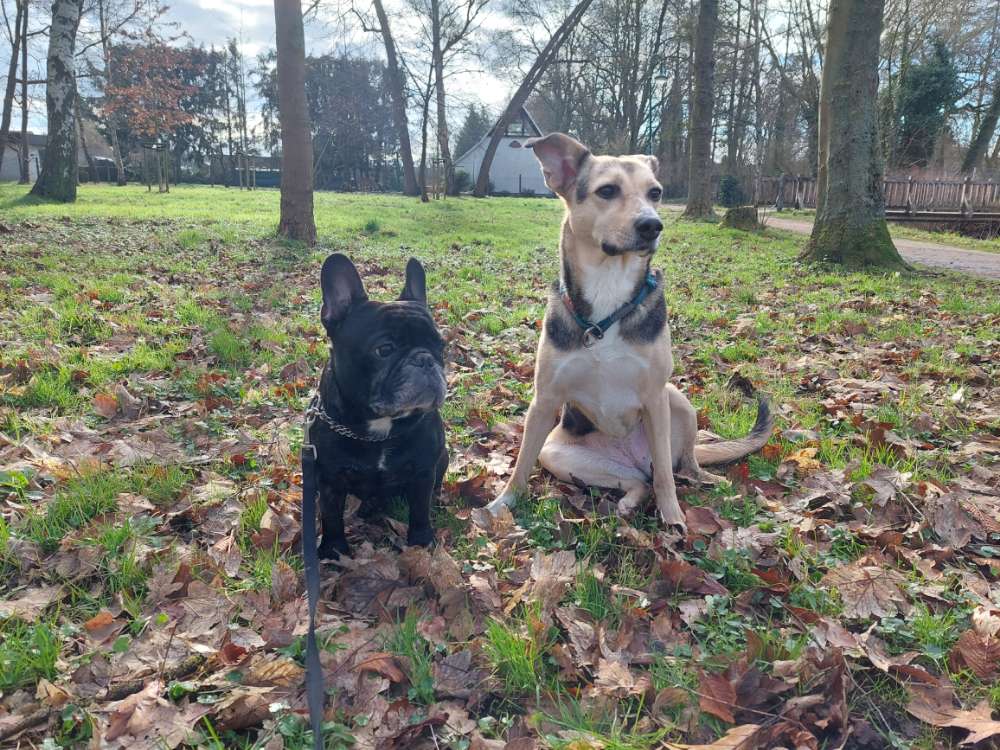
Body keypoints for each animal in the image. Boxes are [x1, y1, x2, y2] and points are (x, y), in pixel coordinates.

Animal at [486, 132, 772, 532]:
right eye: (607, 190)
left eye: (656, 193)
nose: (652, 225)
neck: (608, 295)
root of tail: (633, 459)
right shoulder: (544, 401)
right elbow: (521, 464)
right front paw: (502, 504)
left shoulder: (654, 397)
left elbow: (666, 478)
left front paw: (673, 518)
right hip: (559, 455)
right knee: (640, 481)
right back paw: (628, 502)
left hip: (676, 401)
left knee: (678, 468)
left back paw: (701, 480)